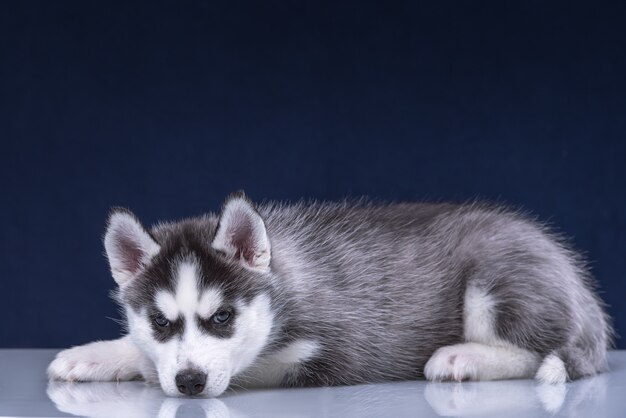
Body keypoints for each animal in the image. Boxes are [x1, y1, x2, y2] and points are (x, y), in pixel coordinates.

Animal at [47, 193, 608, 396]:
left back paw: (462, 356)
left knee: (538, 350)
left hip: (497, 282)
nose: (188, 383)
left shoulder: (342, 353)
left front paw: (138, 366)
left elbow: (250, 367)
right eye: (161, 323)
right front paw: (99, 355)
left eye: (223, 317)